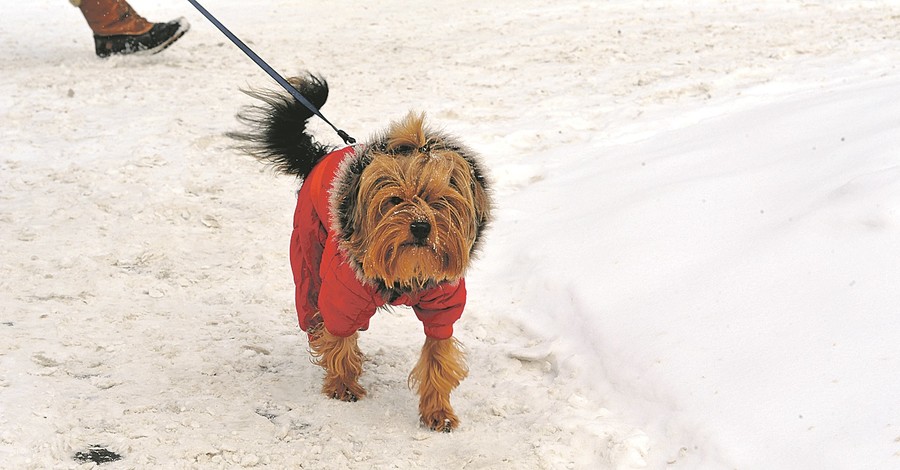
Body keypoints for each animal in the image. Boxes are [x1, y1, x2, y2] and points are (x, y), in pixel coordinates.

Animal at [229, 72, 488, 430]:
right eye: (395, 200)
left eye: (438, 201)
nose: (421, 227)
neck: (404, 272)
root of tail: (319, 156)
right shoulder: (343, 293)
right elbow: (340, 339)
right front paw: (342, 384)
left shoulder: (443, 302)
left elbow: (438, 355)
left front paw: (438, 411)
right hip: (308, 249)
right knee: (311, 300)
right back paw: (317, 332)